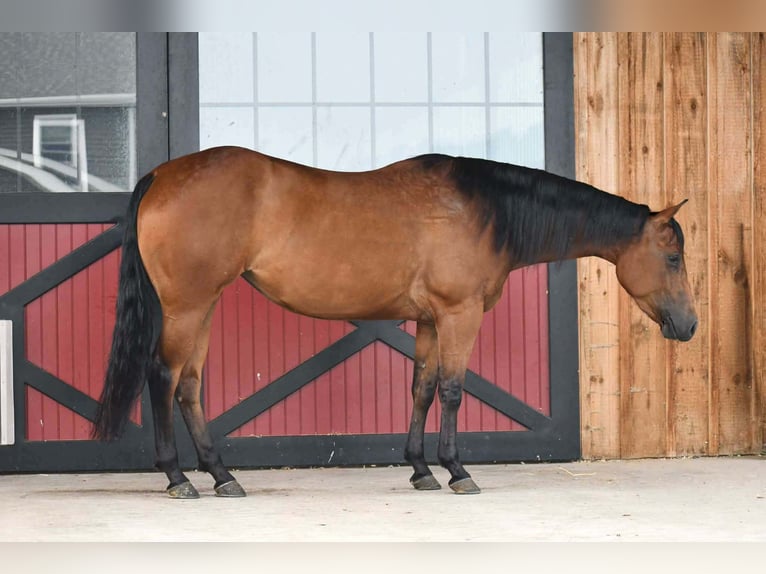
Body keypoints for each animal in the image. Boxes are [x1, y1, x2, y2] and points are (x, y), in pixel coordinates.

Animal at [93, 146, 697, 498]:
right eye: (672, 257)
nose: (689, 326)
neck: (484, 209)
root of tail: (161, 174)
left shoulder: (429, 321)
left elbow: (422, 389)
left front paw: (420, 470)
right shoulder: (458, 315)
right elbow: (452, 390)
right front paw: (457, 471)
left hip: (205, 305)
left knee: (189, 386)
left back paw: (222, 476)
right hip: (188, 305)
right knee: (163, 378)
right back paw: (178, 479)